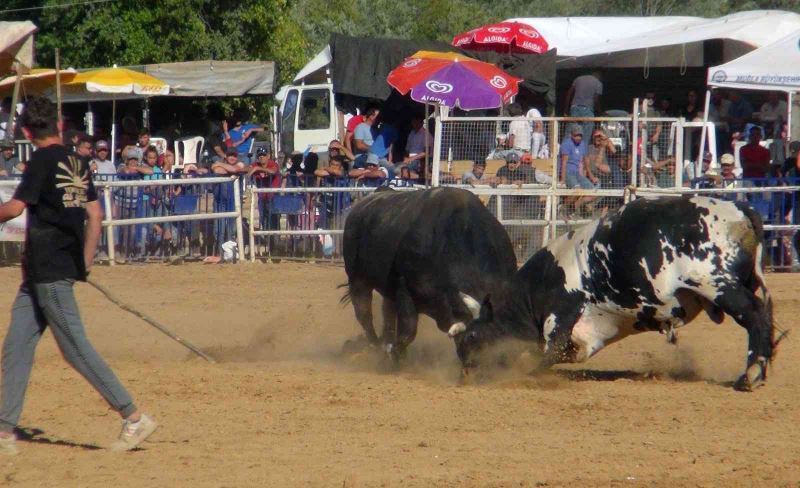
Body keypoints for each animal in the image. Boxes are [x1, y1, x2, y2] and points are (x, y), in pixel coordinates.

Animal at [344, 187, 520, 362]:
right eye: (472, 337)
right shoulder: (405, 287)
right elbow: (408, 332)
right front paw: (395, 355)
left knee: (387, 312)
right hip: (358, 280)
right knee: (364, 313)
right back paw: (374, 346)